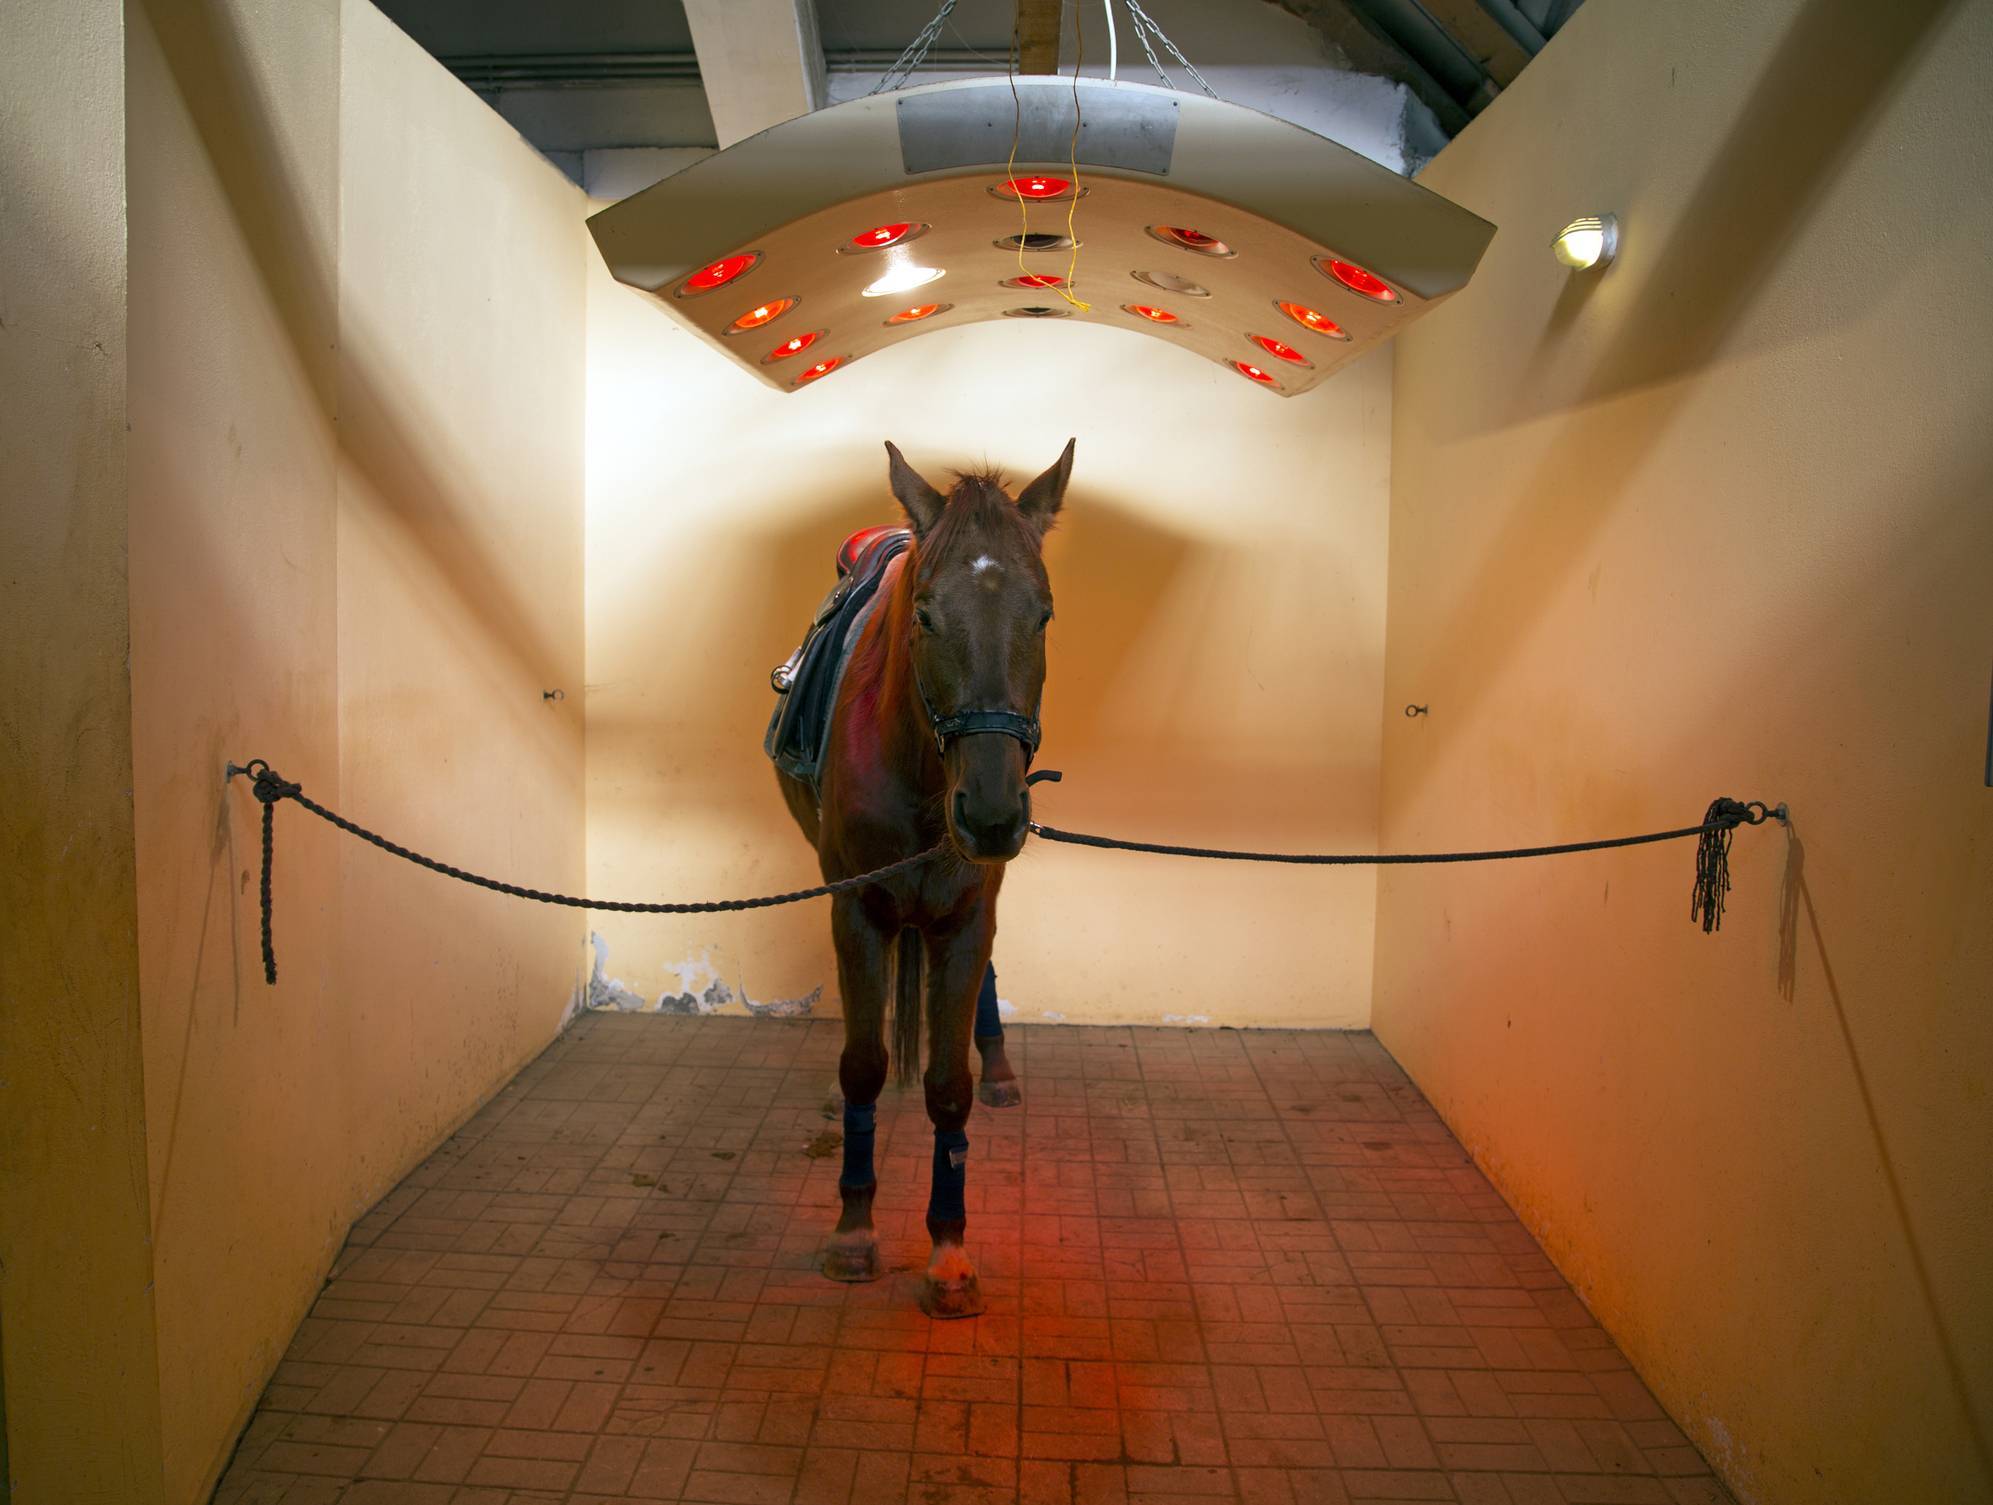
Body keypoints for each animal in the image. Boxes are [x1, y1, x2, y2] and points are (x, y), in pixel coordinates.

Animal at [769, 438, 1076, 1315]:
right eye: (928, 616)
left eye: (1042, 614)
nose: (993, 813)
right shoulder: (856, 910)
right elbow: (865, 1065)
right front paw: (854, 1229)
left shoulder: (969, 911)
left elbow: (946, 1084)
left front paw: (947, 1248)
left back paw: (999, 1066)